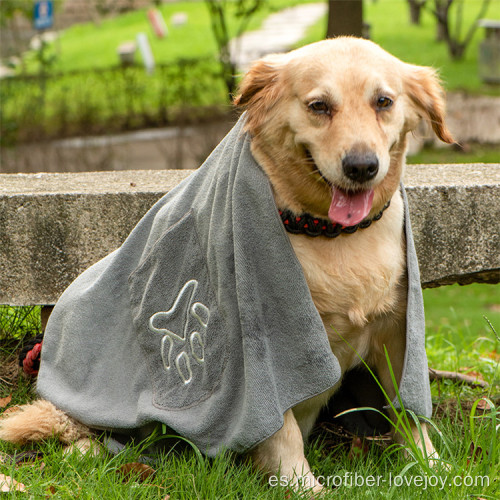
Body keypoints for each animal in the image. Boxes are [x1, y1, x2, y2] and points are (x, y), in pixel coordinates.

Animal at [0, 37, 454, 494]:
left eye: (384, 102)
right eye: (319, 106)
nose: (362, 166)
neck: (331, 235)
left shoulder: (398, 332)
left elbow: (409, 414)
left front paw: (432, 469)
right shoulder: (266, 354)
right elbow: (283, 431)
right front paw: (302, 485)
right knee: (71, 431)